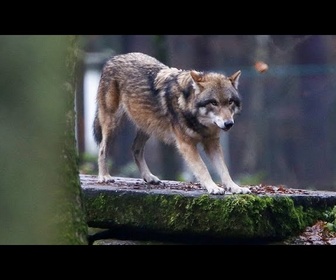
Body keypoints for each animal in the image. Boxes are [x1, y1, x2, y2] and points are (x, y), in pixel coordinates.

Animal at [93, 52, 251, 195]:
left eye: (230, 102)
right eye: (214, 102)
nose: (229, 123)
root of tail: (113, 58)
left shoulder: (212, 143)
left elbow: (224, 169)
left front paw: (235, 187)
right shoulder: (186, 144)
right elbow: (202, 168)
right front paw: (213, 187)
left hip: (148, 127)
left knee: (135, 149)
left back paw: (149, 177)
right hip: (113, 124)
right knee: (102, 148)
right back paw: (104, 176)